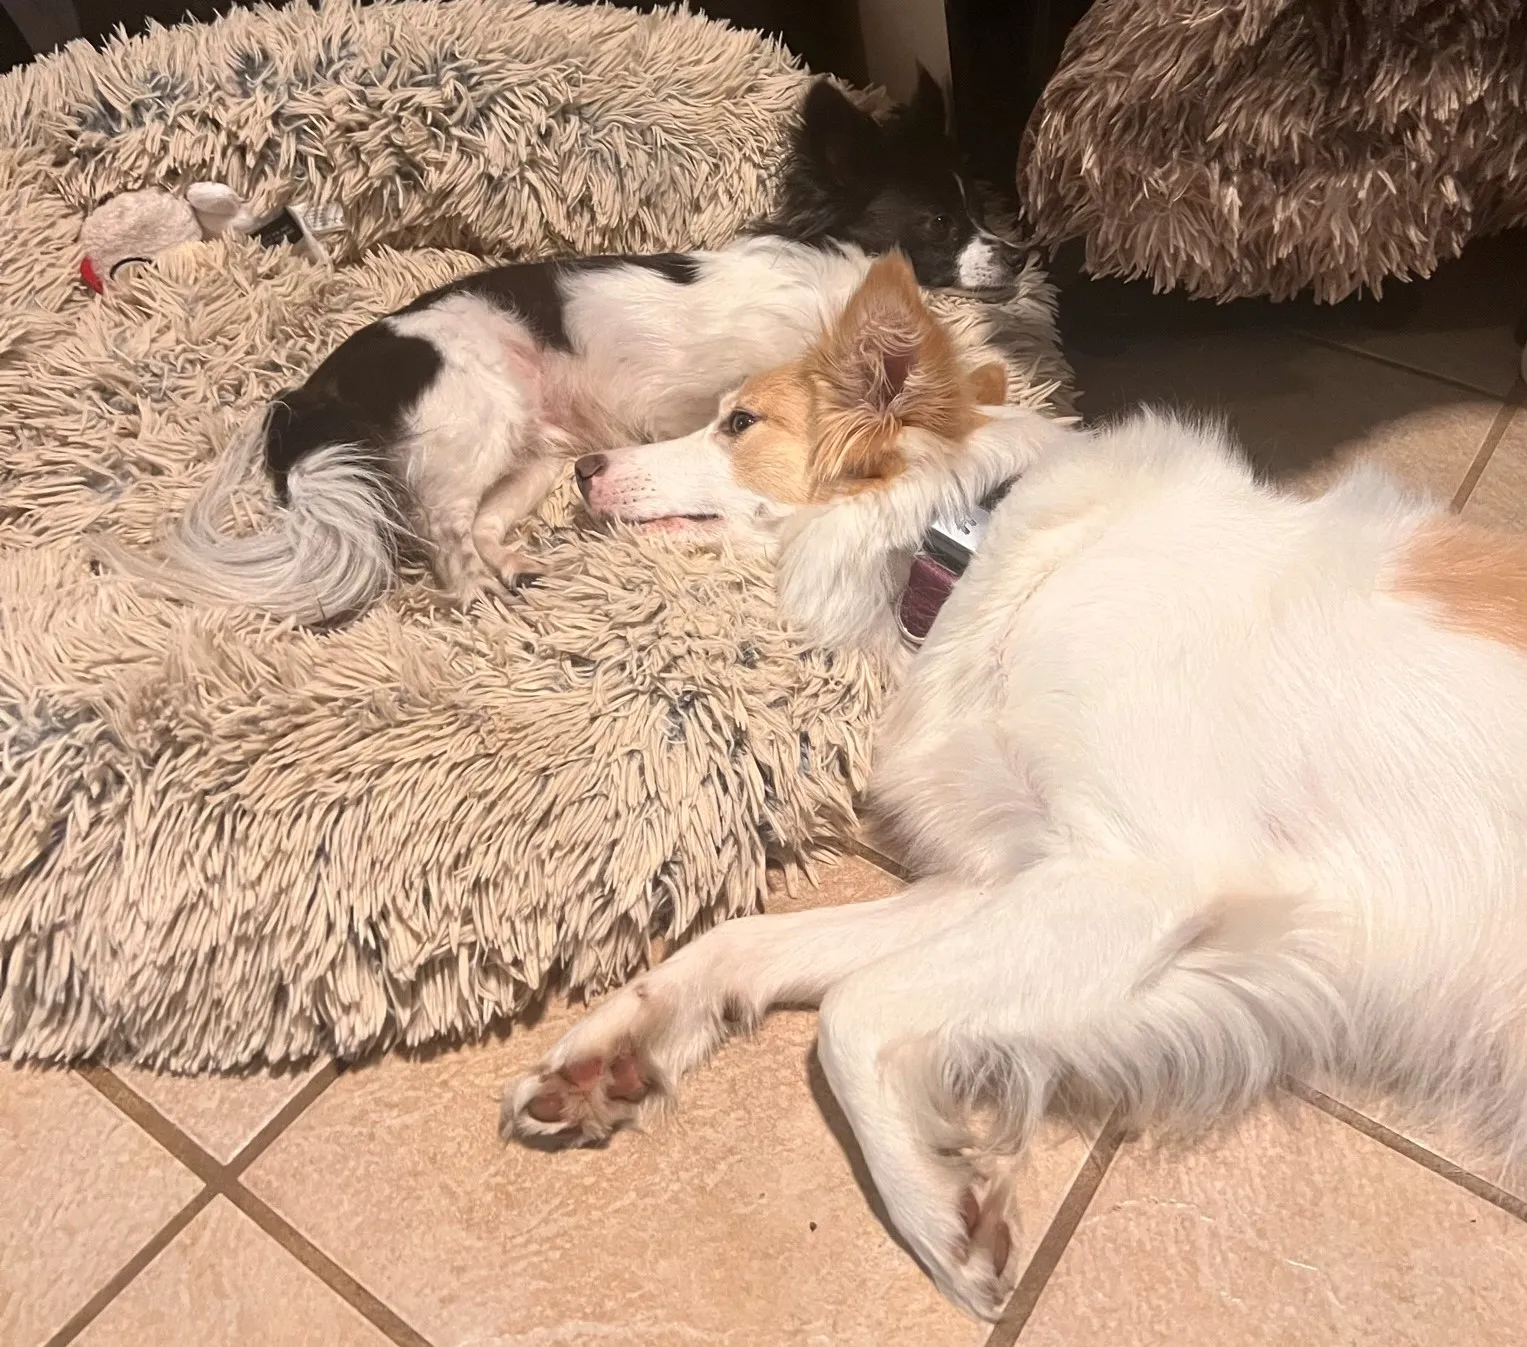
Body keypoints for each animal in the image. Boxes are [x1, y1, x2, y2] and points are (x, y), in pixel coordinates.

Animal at [125, 72, 1020, 620]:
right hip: (472, 415)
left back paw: (515, 567)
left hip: (534, 452)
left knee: (482, 518)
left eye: (981, 208)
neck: (836, 271)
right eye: (939, 223)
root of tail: (318, 386)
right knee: (442, 526)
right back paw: (475, 592)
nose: (1017, 256)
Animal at [503, 256, 1527, 1319]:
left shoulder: (1139, 875)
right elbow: (750, 941)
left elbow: (849, 1011)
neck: (973, 550)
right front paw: (612, 1049)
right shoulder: (1010, 876)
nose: (583, 469)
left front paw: (938, 1211)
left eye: (738, 422)